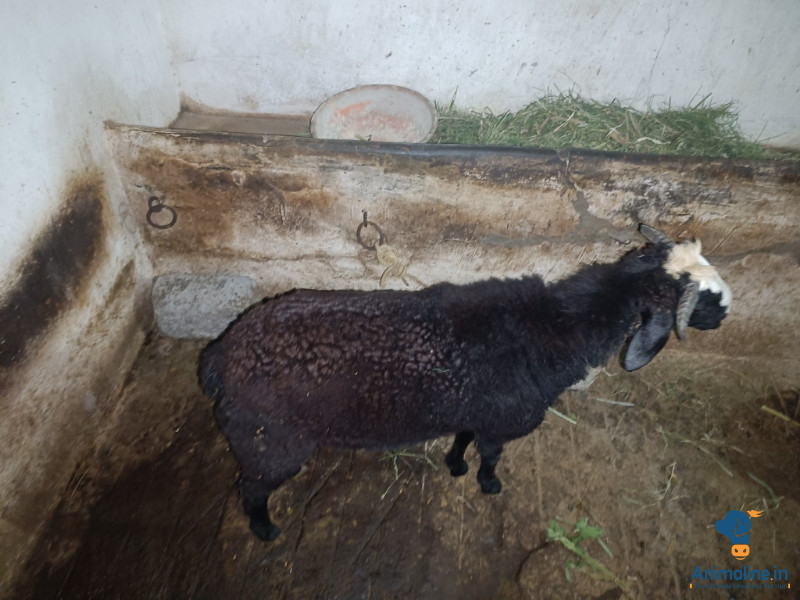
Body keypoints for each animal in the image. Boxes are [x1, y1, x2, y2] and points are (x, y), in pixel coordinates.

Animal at [199, 224, 731, 541]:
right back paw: (265, 529)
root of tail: (221, 355)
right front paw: (488, 483)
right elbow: (491, 455)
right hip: (270, 443)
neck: (555, 327)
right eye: (702, 298)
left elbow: (464, 436)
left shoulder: (478, 410)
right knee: (252, 488)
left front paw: (455, 464)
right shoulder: (506, 421)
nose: (727, 314)